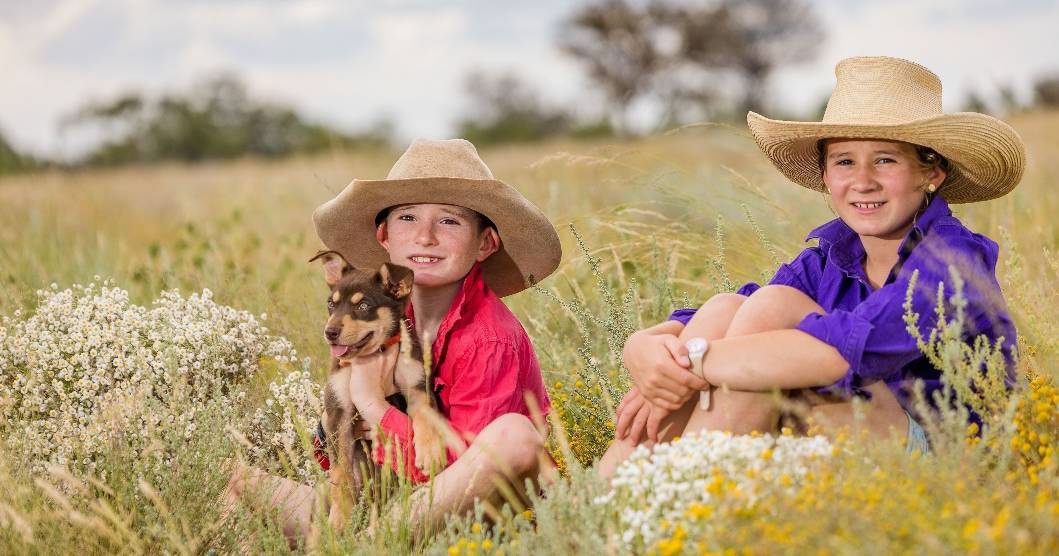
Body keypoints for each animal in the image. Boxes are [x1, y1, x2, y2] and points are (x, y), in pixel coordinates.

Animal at [307, 249, 442, 529]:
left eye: (363, 306)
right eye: (331, 304)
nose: (330, 332)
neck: (374, 353)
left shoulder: (418, 388)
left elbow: (425, 418)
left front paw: (429, 450)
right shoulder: (339, 411)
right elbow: (341, 472)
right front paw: (340, 516)